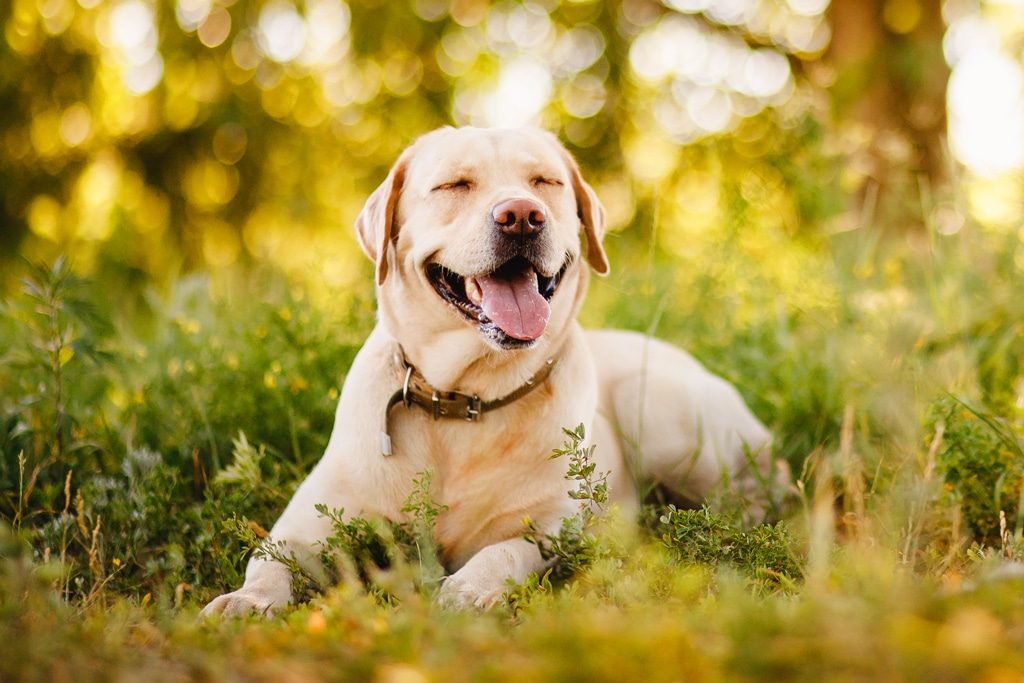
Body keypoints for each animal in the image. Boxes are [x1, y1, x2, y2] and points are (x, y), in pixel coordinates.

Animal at [201, 126, 782, 614]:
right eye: (455, 184)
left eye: (544, 181)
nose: (522, 215)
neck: (463, 399)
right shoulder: (305, 525)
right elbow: (268, 562)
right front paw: (245, 601)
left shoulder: (549, 526)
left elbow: (504, 551)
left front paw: (469, 589)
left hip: (664, 413)